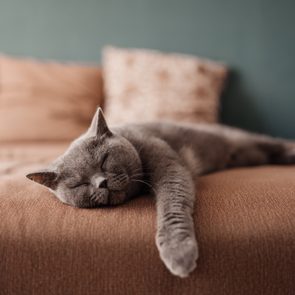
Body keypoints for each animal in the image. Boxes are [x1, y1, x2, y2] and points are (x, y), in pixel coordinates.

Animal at [26, 108, 295, 278]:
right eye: (79, 184)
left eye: (104, 160)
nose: (101, 183)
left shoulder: (169, 167)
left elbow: (171, 202)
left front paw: (178, 253)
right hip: (253, 154)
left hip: (248, 141)